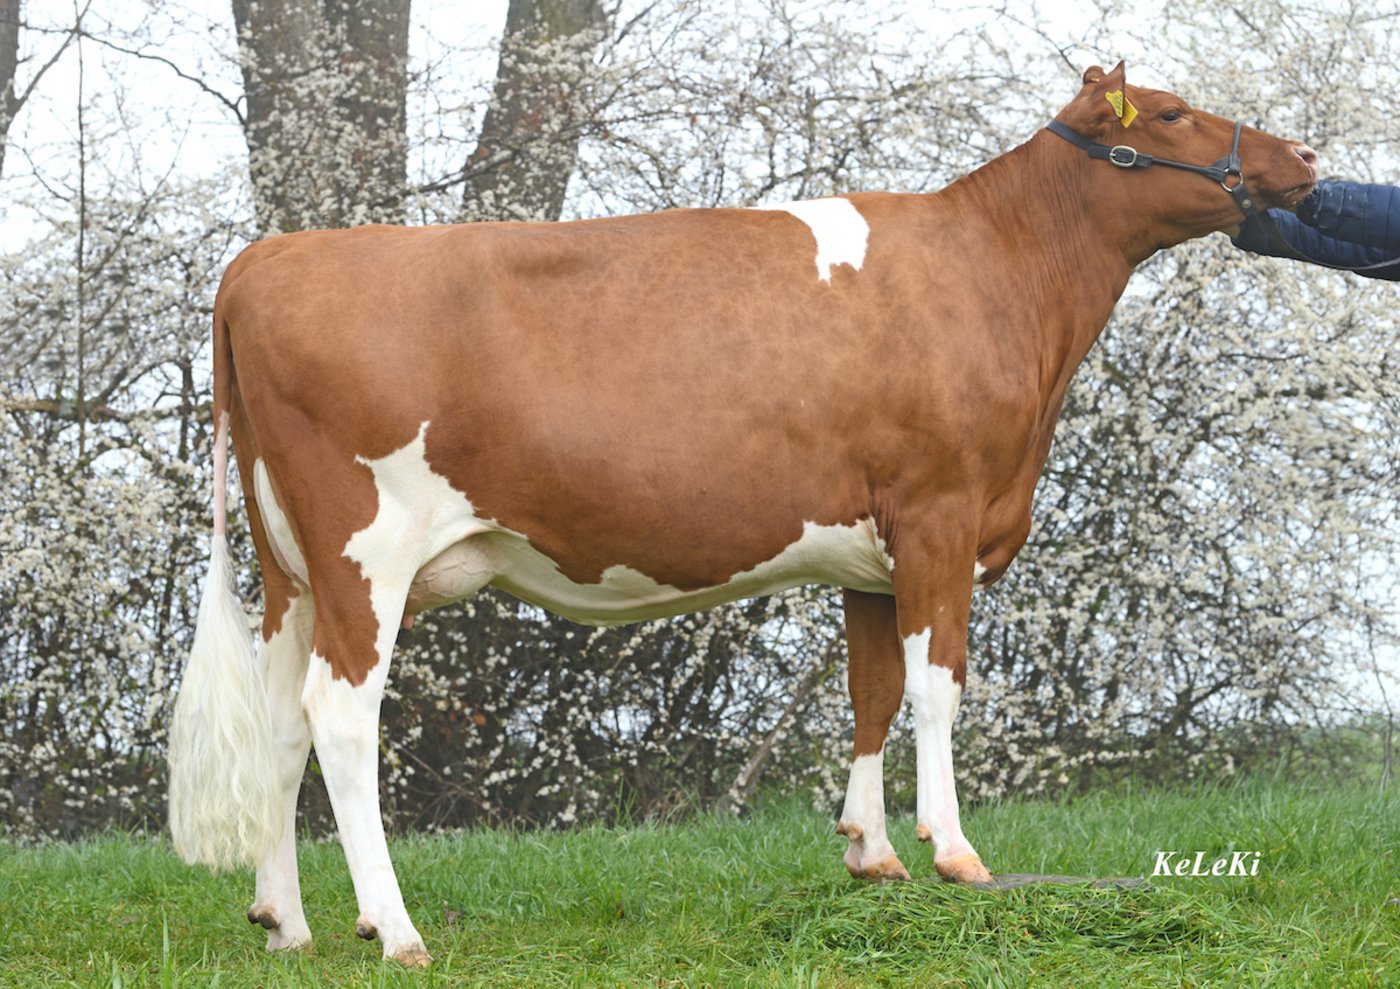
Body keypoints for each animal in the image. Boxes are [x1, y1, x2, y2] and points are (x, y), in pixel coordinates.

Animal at [167, 62, 1317, 965]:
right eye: (1169, 113)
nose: (1302, 155)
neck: (999, 273)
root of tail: (268, 256)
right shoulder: (939, 512)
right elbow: (937, 689)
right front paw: (954, 852)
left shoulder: (874, 553)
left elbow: (869, 692)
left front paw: (872, 852)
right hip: (366, 552)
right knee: (340, 718)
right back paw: (396, 928)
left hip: (293, 569)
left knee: (279, 719)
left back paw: (287, 921)